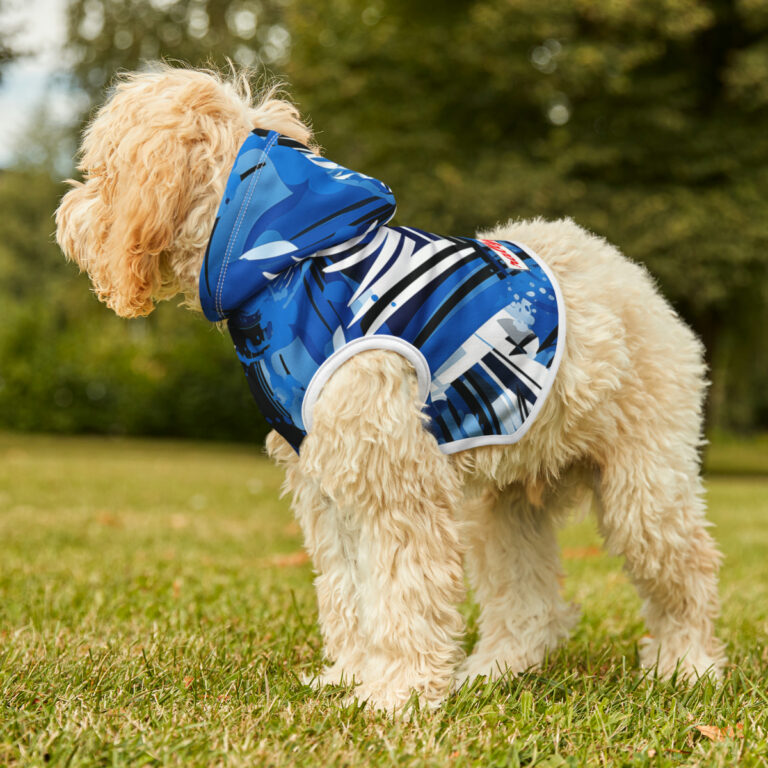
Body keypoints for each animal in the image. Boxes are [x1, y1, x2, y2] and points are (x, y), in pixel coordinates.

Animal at [57, 66, 724, 712]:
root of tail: (631, 275)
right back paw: (495, 670)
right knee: (530, 602)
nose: (66, 215)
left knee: (688, 573)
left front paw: (396, 694)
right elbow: (349, 590)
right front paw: (352, 677)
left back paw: (686, 666)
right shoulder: (328, 485)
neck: (291, 261)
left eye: (101, 172)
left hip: (645, 487)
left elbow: (403, 591)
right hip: (505, 504)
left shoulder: (395, 481)